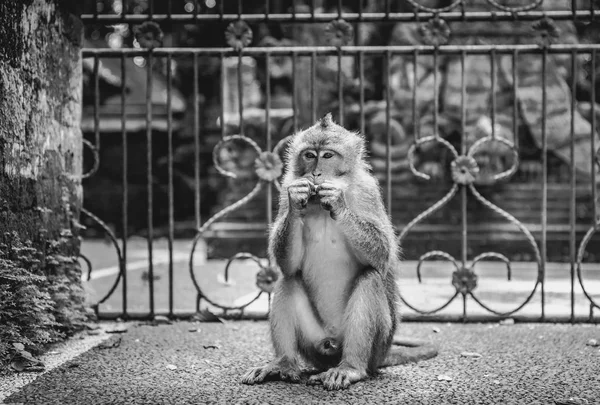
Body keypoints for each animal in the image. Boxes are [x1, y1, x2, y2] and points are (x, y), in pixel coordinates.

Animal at [241, 113, 438, 388]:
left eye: (327, 156)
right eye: (309, 155)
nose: (316, 172)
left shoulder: (367, 190)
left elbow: (382, 254)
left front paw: (338, 202)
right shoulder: (286, 185)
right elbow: (288, 264)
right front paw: (297, 200)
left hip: (376, 346)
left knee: (370, 278)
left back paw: (350, 368)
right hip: (314, 344)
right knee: (288, 279)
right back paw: (283, 363)